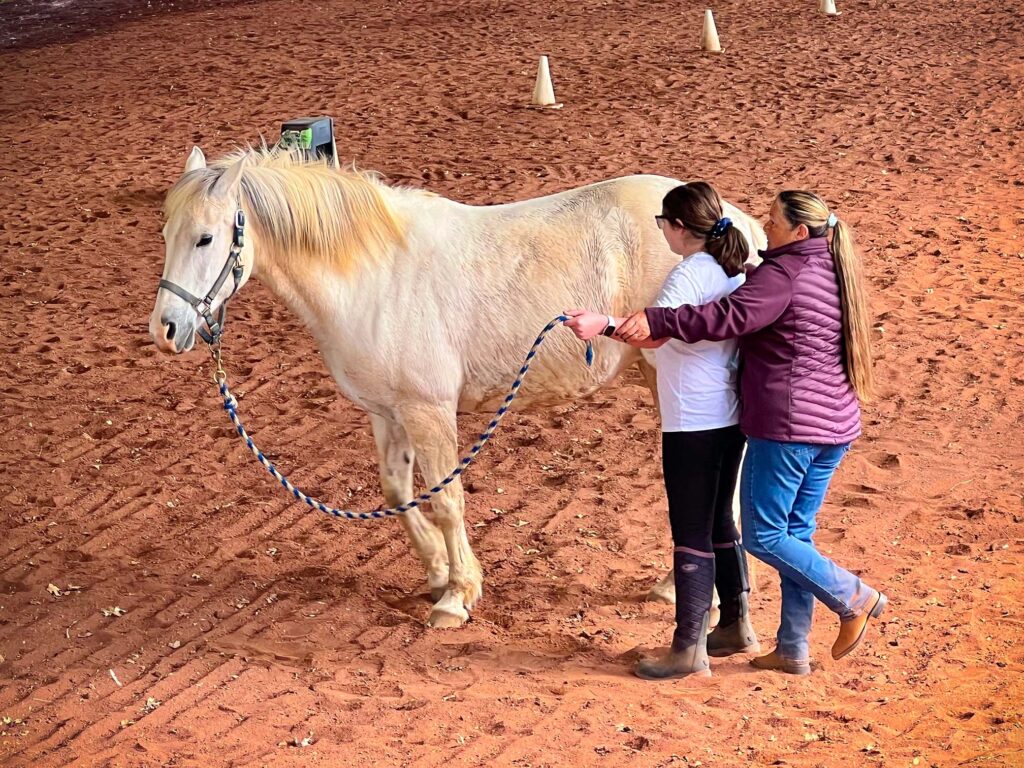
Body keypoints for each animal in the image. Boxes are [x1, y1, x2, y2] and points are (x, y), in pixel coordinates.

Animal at [149, 146, 766, 628]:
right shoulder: (388, 413)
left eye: (205, 238)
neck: (376, 277)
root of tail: (741, 227)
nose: (165, 330)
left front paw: (457, 595)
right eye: (165, 233)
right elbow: (397, 492)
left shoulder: (429, 411)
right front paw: (438, 571)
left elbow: (446, 500)